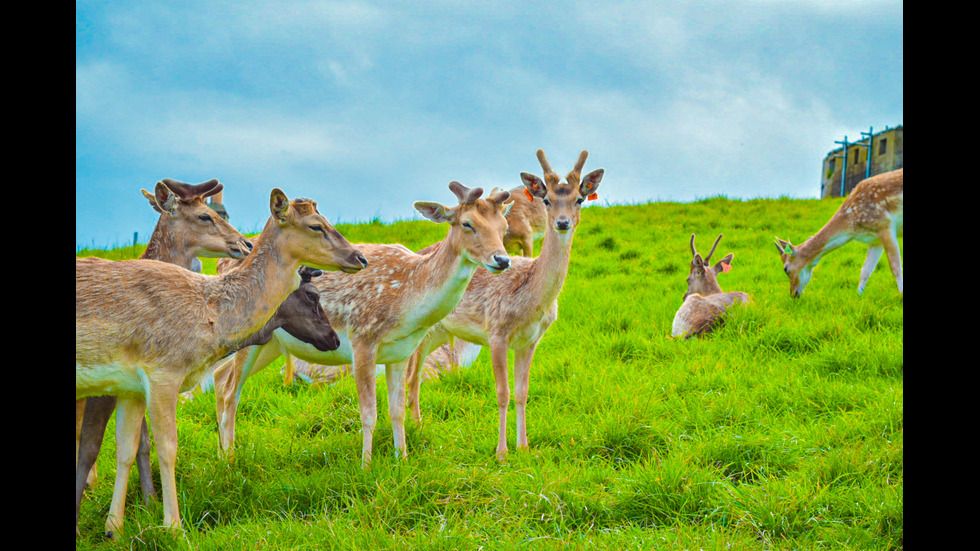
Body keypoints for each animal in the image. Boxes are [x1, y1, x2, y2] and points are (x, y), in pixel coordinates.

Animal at [75, 190, 368, 540]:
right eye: (316, 225)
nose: (360, 258)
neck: (210, 317)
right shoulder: (163, 371)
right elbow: (167, 447)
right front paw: (174, 527)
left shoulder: (128, 386)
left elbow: (126, 448)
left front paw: (113, 529)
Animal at [210, 183, 510, 468]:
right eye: (467, 223)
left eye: (503, 227)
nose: (502, 259)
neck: (409, 307)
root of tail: (221, 264)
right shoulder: (363, 339)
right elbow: (369, 413)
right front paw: (366, 466)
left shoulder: (401, 353)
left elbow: (397, 411)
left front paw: (402, 460)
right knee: (231, 390)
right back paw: (231, 458)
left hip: (270, 343)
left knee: (220, 376)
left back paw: (223, 453)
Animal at [402, 148, 600, 462]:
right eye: (546, 199)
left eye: (579, 199)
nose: (562, 222)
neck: (532, 304)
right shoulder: (496, 332)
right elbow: (502, 392)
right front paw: (501, 452)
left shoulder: (530, 341)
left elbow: (522, 392)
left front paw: (524, 447)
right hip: (422, 331)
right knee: (412, 376)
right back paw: (417, 429)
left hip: (441, 334)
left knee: (414, 376)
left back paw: (418, 428)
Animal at [772, 168, 904, 298]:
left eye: (785, 269)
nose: (793, 294)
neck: (852, 227)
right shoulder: (875, 239)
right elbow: (865, 270)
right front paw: (858, 297)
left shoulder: (885, 225)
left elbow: (896, 267)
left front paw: (901, 295)